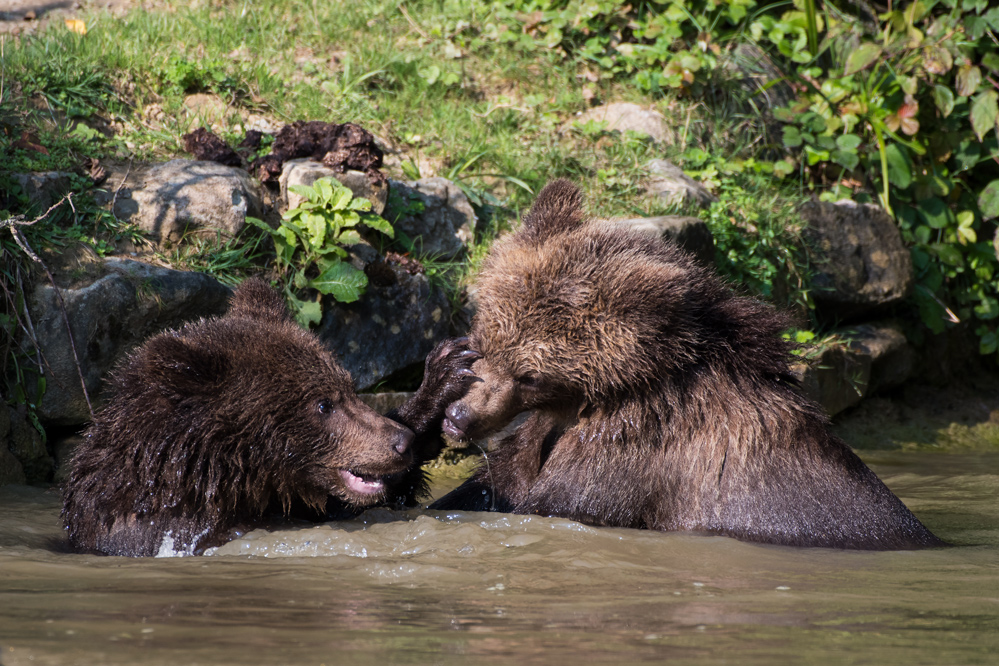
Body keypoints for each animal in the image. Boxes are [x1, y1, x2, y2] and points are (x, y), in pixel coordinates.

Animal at [432, 179, 944, 548]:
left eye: (530, 375)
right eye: (482, 338)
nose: (460, 416)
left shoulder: (632, 451)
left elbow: (550, 502)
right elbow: (496, 478)